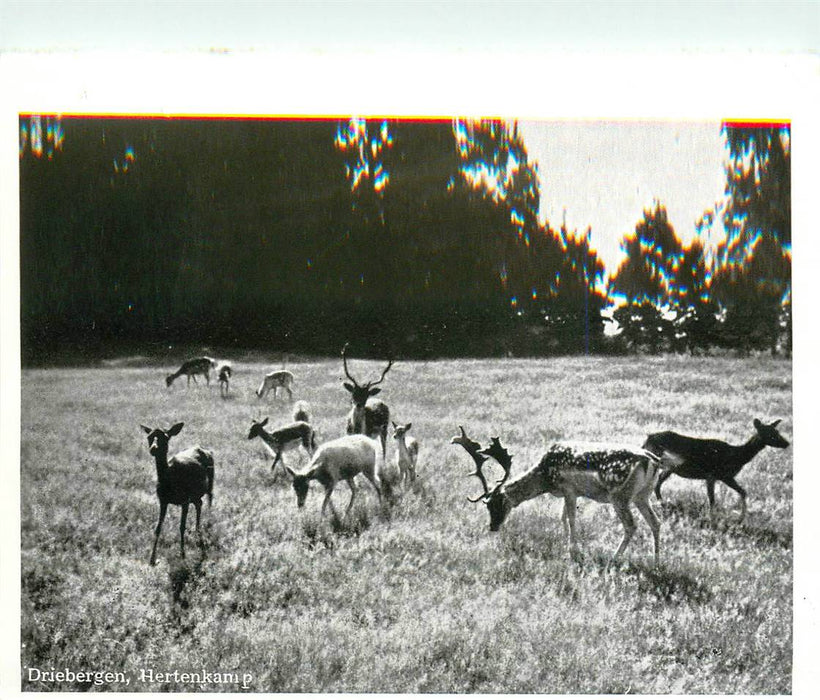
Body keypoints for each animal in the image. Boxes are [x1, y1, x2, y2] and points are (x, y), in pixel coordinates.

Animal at [139, 424, 215, 568]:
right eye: (149, 437)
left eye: (166, 437)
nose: (153, 448)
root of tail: (207, 450)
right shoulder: (162, 500)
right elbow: (158, 528)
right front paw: (152, 559)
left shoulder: (184, 500)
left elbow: (181, 527)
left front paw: (183, 555)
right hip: (195, 494)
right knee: (199, 503)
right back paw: (197, 531)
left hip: (210, 480)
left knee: (209, 498)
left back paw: (206, 526)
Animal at [452, 426, 664, 568]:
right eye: (487, 506)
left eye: (497, 504)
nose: (493, 526)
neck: (546, 477)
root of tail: (652, 460)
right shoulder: (567, 493)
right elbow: (562, 517)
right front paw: (565, 545)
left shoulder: (569, 489)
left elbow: (571, 518)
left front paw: (573, 552)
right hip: (642, 495)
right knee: (656, 522)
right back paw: (656, 562)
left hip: (620, 495)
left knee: (631, 525)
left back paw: (613, 559)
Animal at [644, 416, 792, 520]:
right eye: (770, 433)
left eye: (777, 431)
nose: (786, 443)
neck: (736, 455)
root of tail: (647, 440)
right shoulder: (713, 474)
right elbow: (712, 498)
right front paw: (712, 519)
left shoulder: (725, 476)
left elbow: (742, 492)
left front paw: (740, 519)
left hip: (669, 468)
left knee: (658, 483)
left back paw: (662, 504)